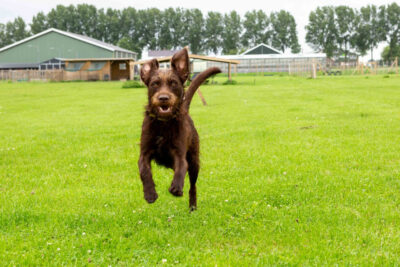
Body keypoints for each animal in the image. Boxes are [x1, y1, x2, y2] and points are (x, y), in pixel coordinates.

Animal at [137, 48, 219, 211]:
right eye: (154, 84)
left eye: (173, 83)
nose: (163, 98)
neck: (164, 124)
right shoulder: (144, 152)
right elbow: (144, 171)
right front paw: (150, 194)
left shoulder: (179, 152)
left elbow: (181, 166)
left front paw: (176, 187)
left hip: (194, 161)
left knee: (193, 186)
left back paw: (192, 206)